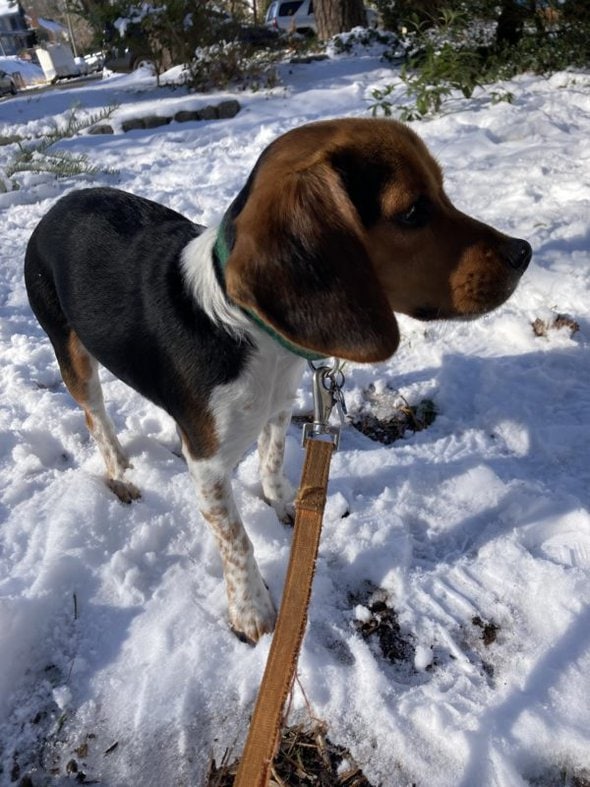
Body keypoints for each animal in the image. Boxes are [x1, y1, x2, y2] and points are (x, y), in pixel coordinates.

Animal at [23, 118, 536, 648]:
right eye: (414, 212)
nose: (524, 252)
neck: (250, 330)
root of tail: (60, 203)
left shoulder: (279, 406)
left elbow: (271, 461)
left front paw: (285, 504)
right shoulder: (206, 466)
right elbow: (236, 539)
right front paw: (251, 609)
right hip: (71, 353)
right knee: (96, 416)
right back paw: (122, 471)